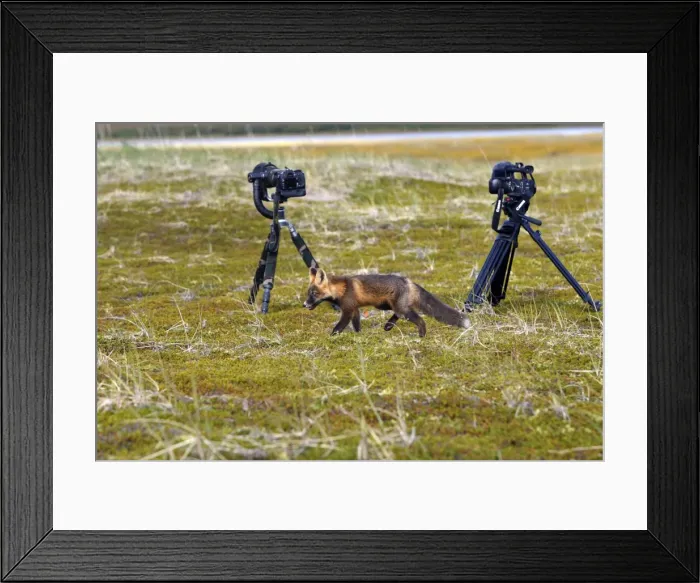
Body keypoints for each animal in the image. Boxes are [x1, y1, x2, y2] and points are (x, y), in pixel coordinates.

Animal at [303, 267, 470, 337]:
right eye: (308, 293)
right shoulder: (355, 309)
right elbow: (357, 325)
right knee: (397, 315)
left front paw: (331, 337)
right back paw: (388, 325)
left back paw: (421, 335)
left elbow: (338, 327)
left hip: (399, 308)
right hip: (388, 306)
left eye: (314, 293)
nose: (304, 304)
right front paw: (359, 336)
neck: (342, 289)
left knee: (420, 319)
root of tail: (408, 281)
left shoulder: (348, 310)